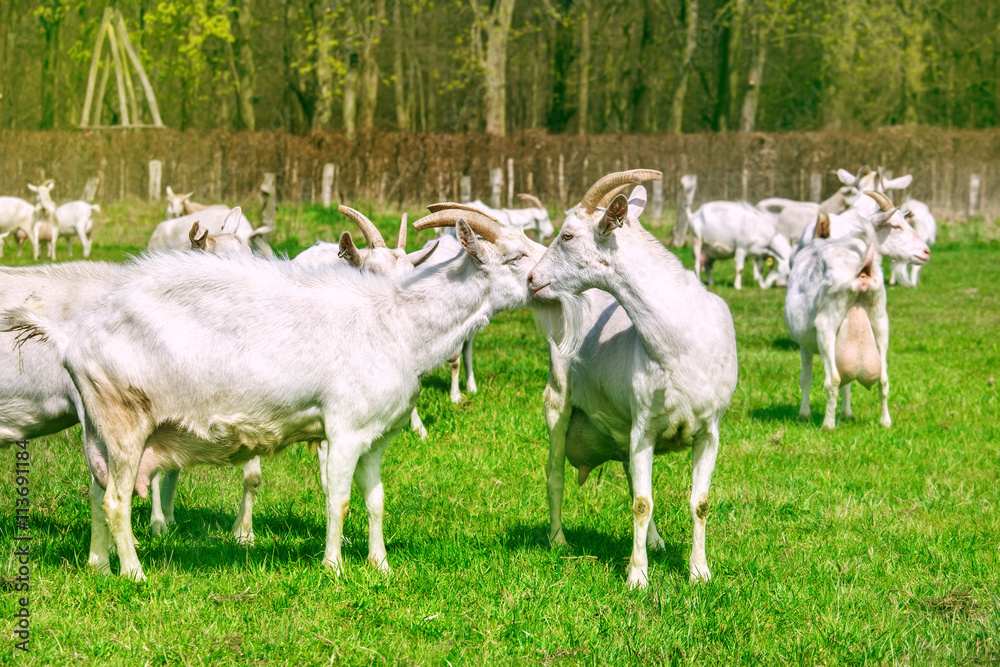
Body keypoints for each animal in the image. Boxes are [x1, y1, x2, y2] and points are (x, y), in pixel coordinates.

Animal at [2, 208, 544, 581]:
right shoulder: (344, 430)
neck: (397, 324)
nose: (545, 275)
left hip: (97, 426)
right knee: (116, 499)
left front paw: (381, 565)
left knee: (96, 491)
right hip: (123, 420)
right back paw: (134, 573)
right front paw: (334, 568)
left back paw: (98, 565)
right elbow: (338, 499)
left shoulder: (376, 437)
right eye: (516, 256)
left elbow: (375, 500)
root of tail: (72, 337)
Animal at [527, 170, 739, 589]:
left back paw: (656, 542)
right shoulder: (645, 425)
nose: (532, 279)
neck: (684, 340)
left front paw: (699, 572)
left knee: (628, 477)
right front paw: (637, 578)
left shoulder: (709, 430)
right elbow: (642, 503)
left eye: (567, 235)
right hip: (558, 401)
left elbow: (700, 503)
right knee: (555, 472)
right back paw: (558, 539)